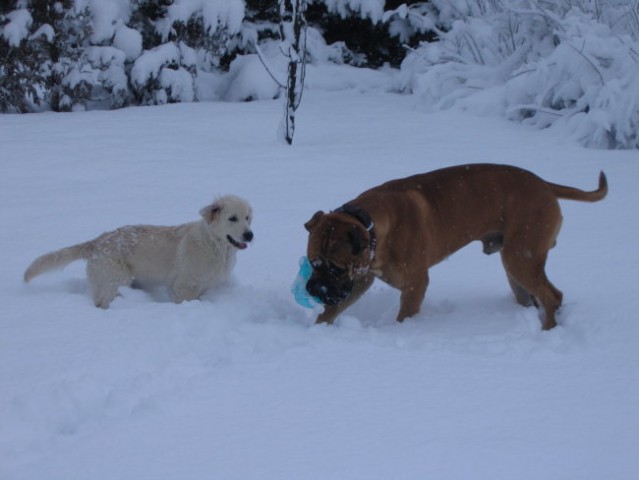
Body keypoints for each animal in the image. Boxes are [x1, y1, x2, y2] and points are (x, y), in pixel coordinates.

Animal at [25, 194, 255, 308]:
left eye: (247, 218)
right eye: (232, 218)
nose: (250, 235)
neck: (213, 244)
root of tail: (96, 242)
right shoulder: (184, 287)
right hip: (116, 279)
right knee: (102, 301)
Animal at [304, 163, 608, 328]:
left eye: (335, 267)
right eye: (312, 262)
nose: (313, 289)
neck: (372, 225)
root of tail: (545, 184)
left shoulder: (415, 285)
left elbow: (404, 317)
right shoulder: (359, 280)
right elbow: (332, 310)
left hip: (522, 257)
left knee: (552, 295)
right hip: (516, 266)